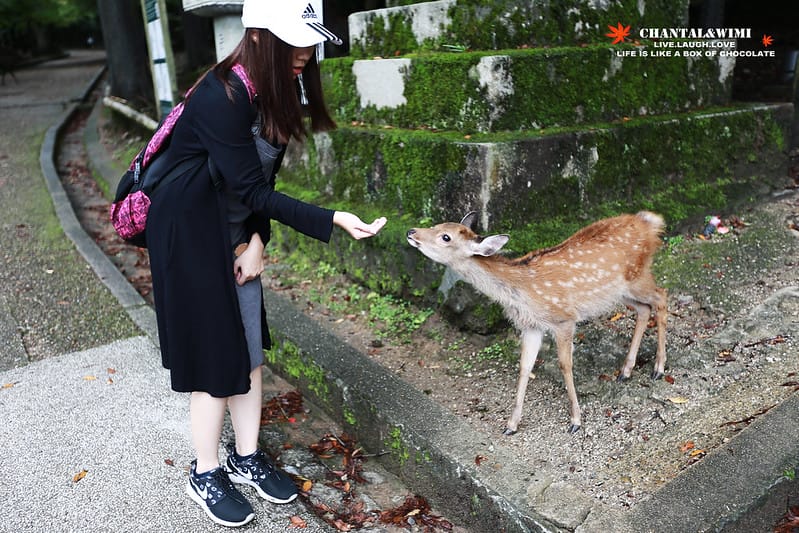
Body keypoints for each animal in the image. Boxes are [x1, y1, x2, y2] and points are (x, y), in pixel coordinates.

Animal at [406, 211, 668, 435]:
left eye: (445, 237)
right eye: (438, 225)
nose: (411, 231)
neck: (520, 293)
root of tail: (649, 222)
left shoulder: (563, 318)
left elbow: (565, 365)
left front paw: (576, 421)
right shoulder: (531, 326)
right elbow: (524, 367)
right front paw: (511, 424)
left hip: (638, 277)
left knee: (661, 296)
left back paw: (658, 368)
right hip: (618, 292)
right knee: (644, 309)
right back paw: (626, 371)